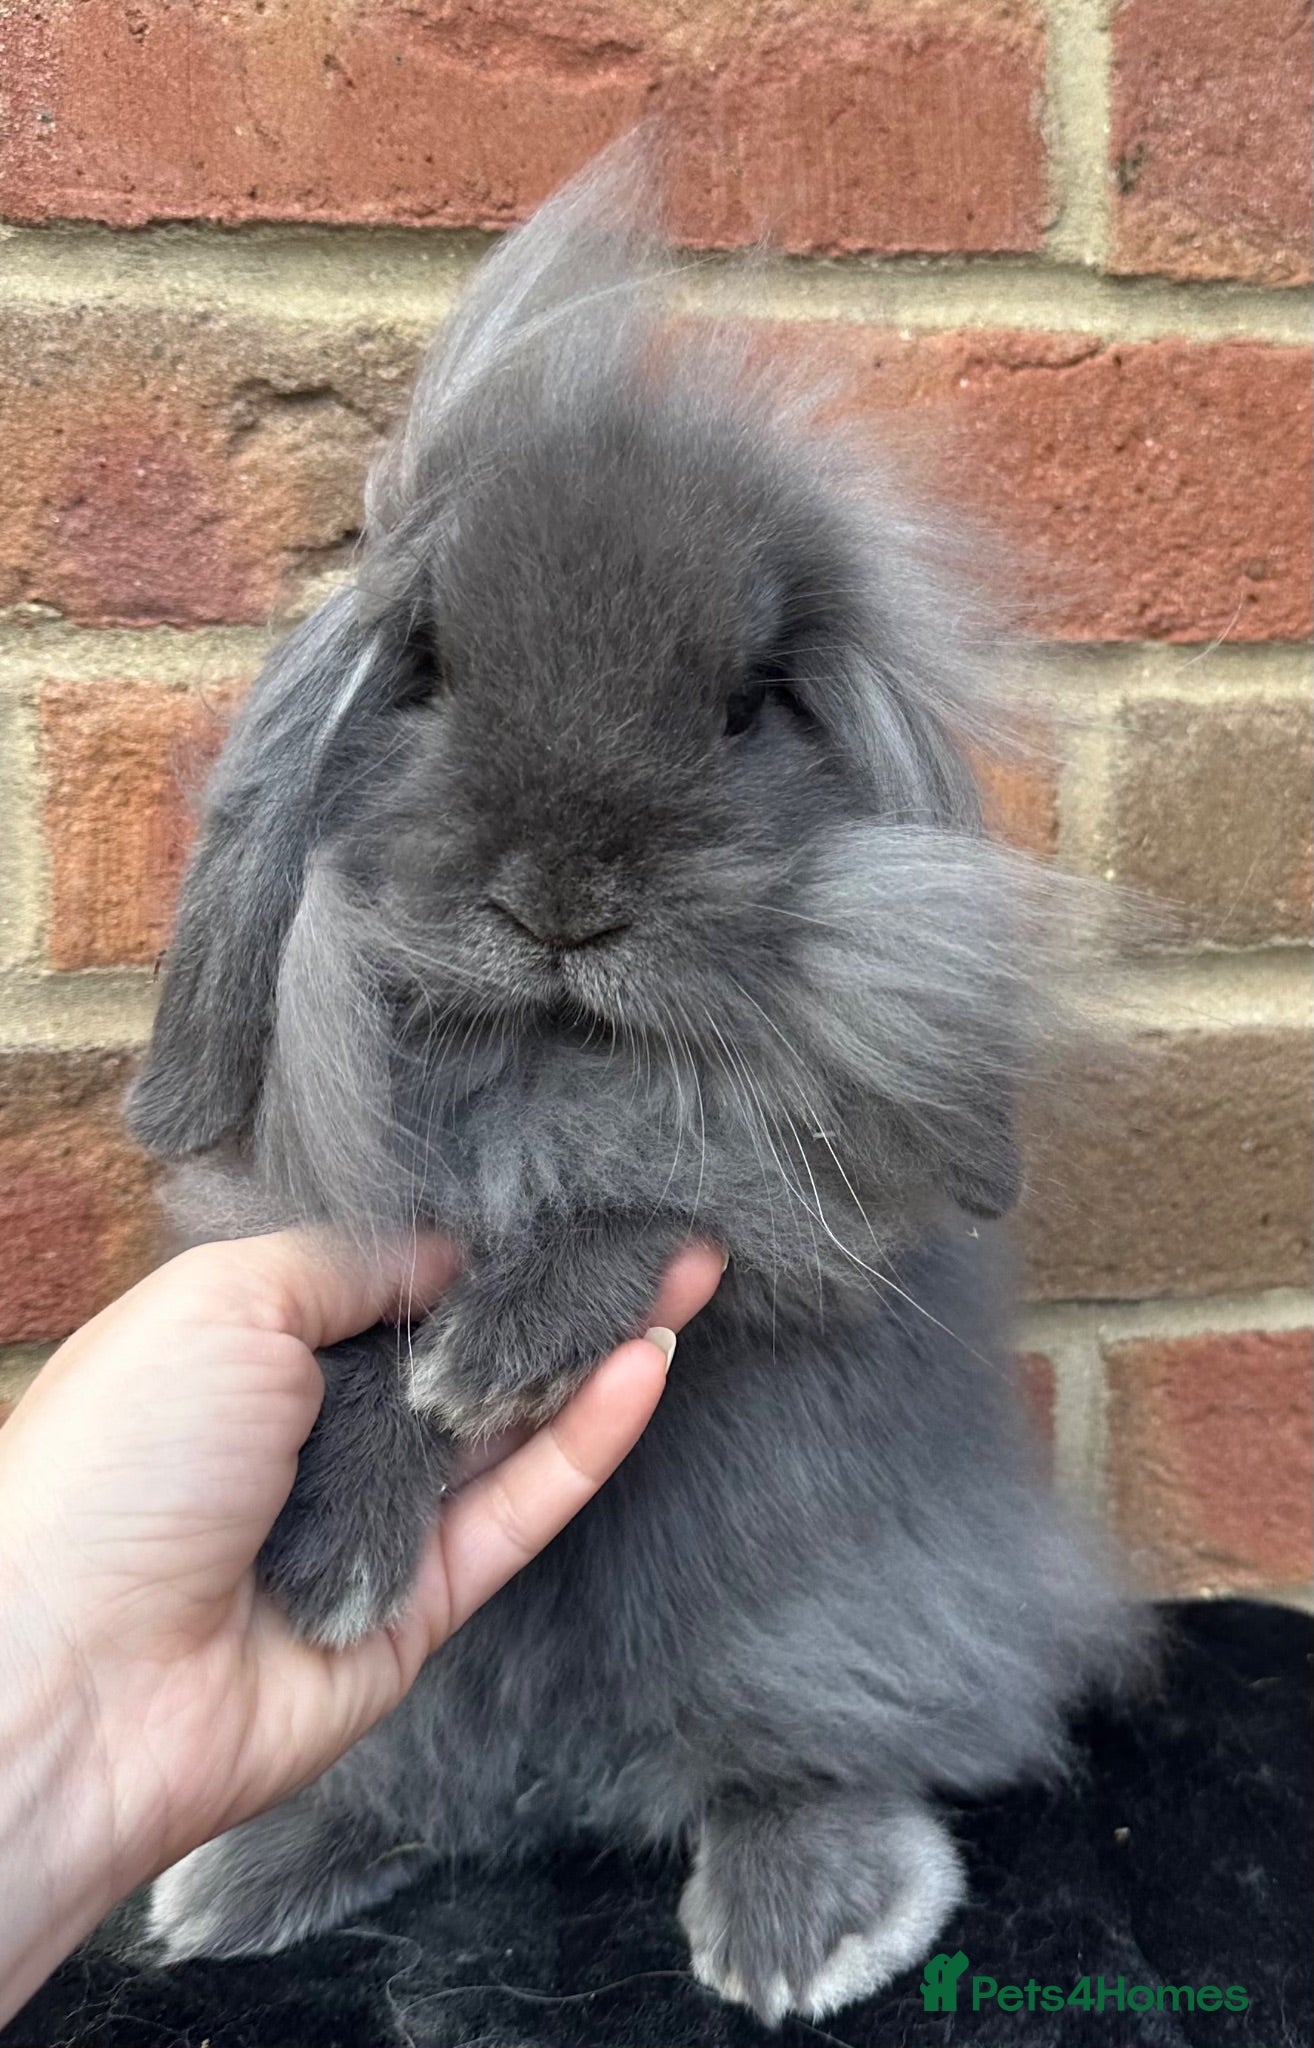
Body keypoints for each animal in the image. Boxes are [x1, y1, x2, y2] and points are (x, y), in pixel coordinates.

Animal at [128, 140, 1140, 2024]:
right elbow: (362, 1339)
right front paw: (332, 1558)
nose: (561, 901)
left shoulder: (794, 1226)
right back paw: (256, 1866)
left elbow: (668, 1200)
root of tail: (578, 1784)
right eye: (429, 671)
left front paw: (496, 1353)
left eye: (749, 705)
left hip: (836, 1616)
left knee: (824, 1741)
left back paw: (803, 1917)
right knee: (419, 1790)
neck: (547, 1066)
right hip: (438, 1723)